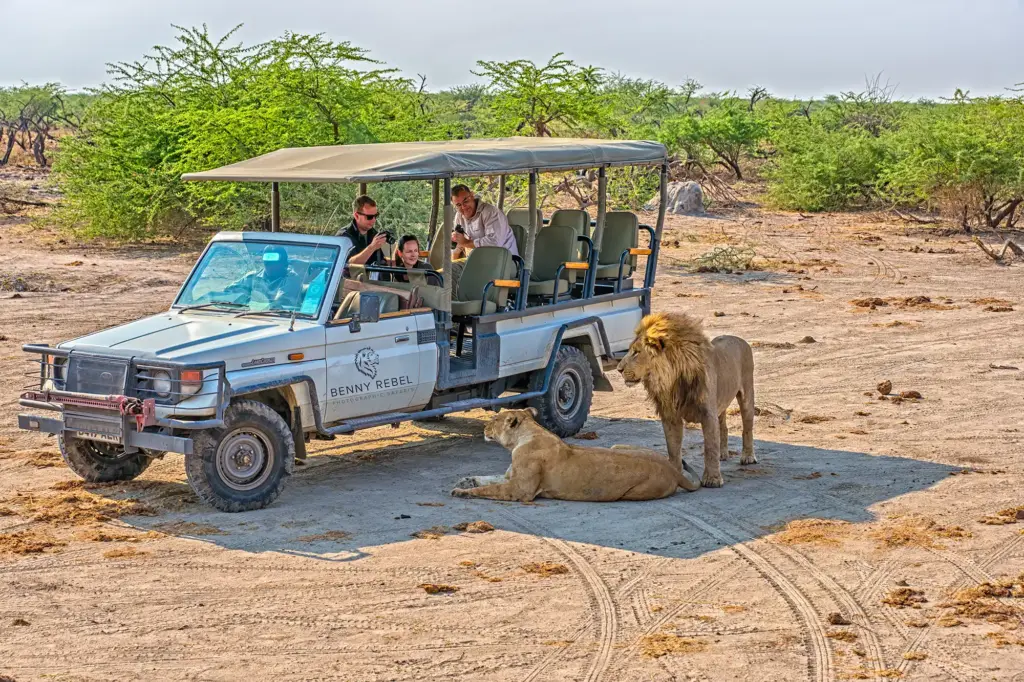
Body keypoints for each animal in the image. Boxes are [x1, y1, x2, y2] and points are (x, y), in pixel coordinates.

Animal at [451, 408, 700, 503]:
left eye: (494, 420)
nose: (484, 428)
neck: (528, 434)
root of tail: (674, 471)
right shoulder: (510, 478)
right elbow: (486, 479)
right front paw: (464, 481)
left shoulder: (520, 491)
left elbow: (488, 489)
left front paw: (462, 492)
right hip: (618, 446)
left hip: (633, 493)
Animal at [616, 312, 755, 488]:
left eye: (636, 352)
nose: (618, 369)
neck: (671, 379)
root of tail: (738, 338)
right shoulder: (671, 415)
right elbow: (673, 448)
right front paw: (674, 475)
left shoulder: (708, 413)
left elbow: (710, 446)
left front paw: (712, 479)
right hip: (721, 402)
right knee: (723, 427)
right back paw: (723, 454)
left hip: (746, 395)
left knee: (747, 427)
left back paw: (748, 456)